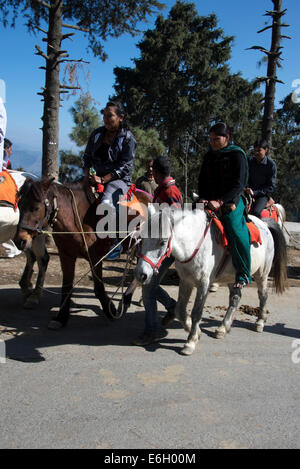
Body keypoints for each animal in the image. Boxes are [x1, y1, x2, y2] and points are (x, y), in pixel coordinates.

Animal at [0, 171, 49, 308]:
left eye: (36, 208)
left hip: (36, 234)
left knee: (42, 258)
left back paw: (33, 294)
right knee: (32, 256)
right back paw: (26, 287)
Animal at [14, 178, 151, 330]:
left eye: (36, 207)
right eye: (19, 205)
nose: (19, 240)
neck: (78, 218)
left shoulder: (95, 258)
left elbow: (98, 288)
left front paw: (110, 310)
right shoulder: (66, 256)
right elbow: (67, 286)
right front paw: (61, 317)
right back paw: (126, 300)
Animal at [135, 206, 288, 354]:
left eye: (162, 242)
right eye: (143, 239)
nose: (141, 274)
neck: (194, 243)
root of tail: (265, 224)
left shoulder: (204, 283)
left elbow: (197, 312)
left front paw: (190, 342)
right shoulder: (186, 281)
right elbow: (180, 310)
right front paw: (195, 331)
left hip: (262, 274)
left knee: (263, 295)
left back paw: (259, 322)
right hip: (232, 278)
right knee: (235, 298)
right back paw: (223, 328)